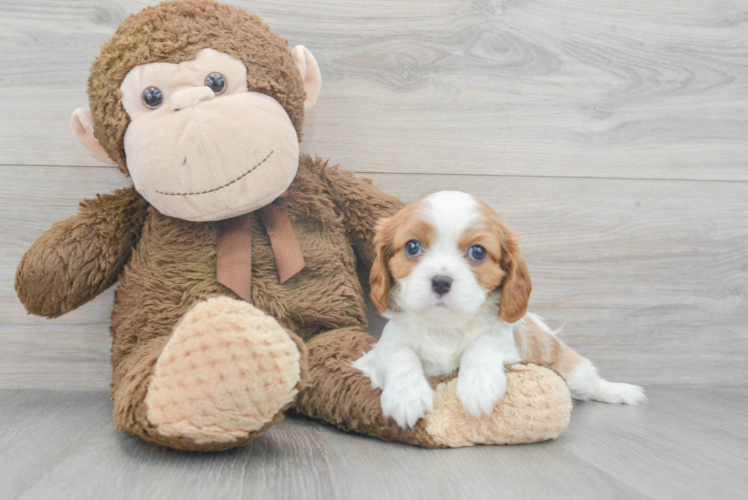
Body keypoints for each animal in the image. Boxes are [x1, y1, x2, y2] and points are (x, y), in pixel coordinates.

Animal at [354, 191, 644, 430]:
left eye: (478, 252)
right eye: (412, 246)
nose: (441, 281)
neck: (444, 326)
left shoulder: (507, 343)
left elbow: (483, 345)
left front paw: (478, 386)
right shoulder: (379, 351)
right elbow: (399, 354)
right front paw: (406, 396)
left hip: (571, 371)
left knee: (591, 382)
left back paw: (621, 391)